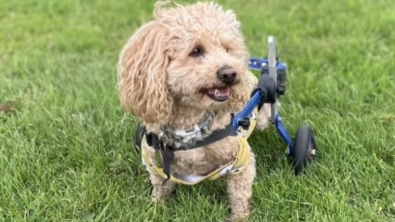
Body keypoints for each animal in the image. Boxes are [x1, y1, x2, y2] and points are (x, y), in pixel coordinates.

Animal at [117, 1, 278, 220]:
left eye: (227, 49)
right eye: (195, 51)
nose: (230, 73)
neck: (191, 126)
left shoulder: (241, 161)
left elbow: (239, 194)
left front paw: (239, 218)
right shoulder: (154, 161)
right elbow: (160, 188)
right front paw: (156, 209)